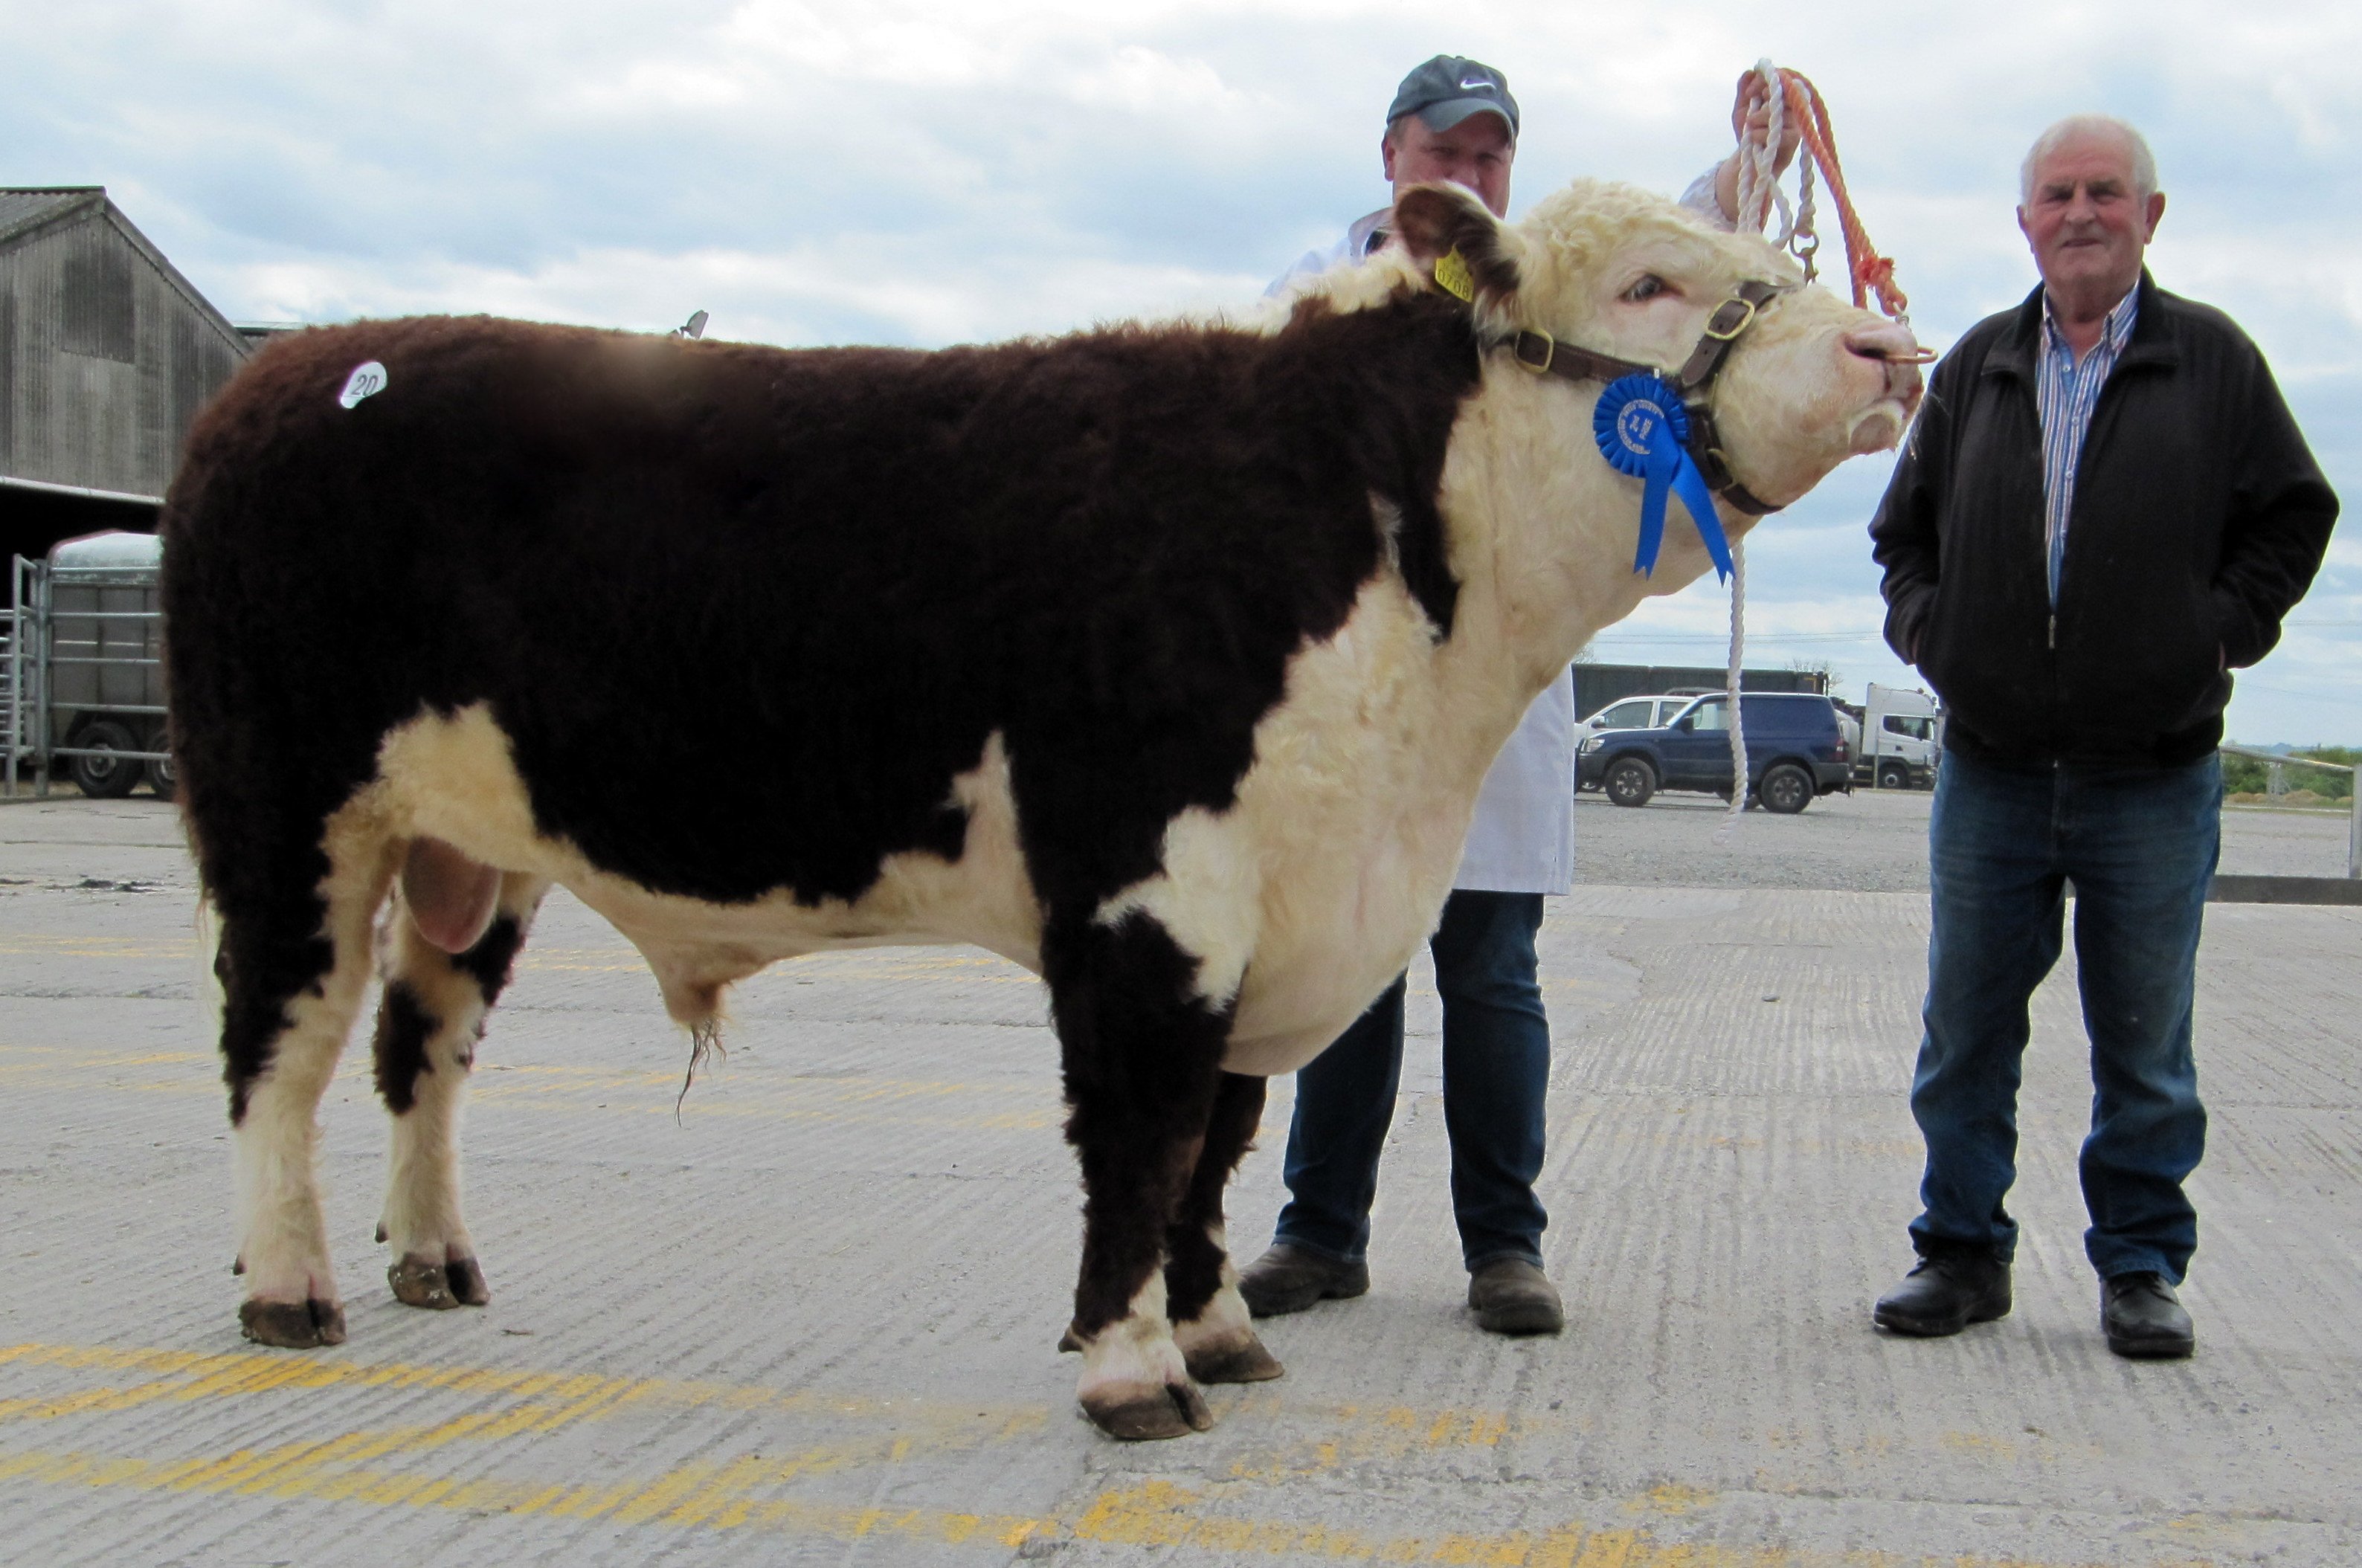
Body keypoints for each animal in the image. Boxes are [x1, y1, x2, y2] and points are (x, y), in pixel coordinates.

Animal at [161, 179, 1922, 1441]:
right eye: (1648, 283)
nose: (1884, 354)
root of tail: (290, 366)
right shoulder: (1151, 895)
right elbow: (1142, 1137)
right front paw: (1134, 1369)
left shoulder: (1270, 899)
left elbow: (1220, 1139)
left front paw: (1220, 1331)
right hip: (283, 809)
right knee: (276, 1043)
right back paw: (290, 1287)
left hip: (469, 843)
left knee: (422, 1040)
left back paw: (431, 1259)